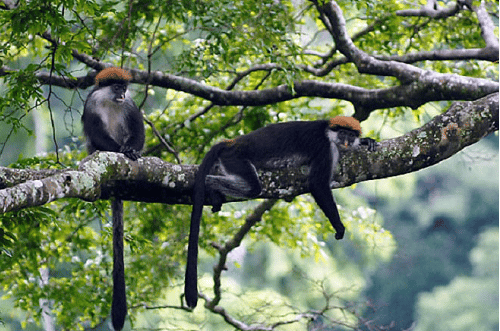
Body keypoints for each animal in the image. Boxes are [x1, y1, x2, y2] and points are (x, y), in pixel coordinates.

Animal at [184, 116, 376, 308]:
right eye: (343, 134)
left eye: (351, 136)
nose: (347, 142)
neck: (327, 131)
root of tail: (233, 142)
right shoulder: (325, 148)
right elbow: (317, 184)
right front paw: (339, 226)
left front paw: (366, 142)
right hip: (235, 159)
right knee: (252, 188)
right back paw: (210, 185)